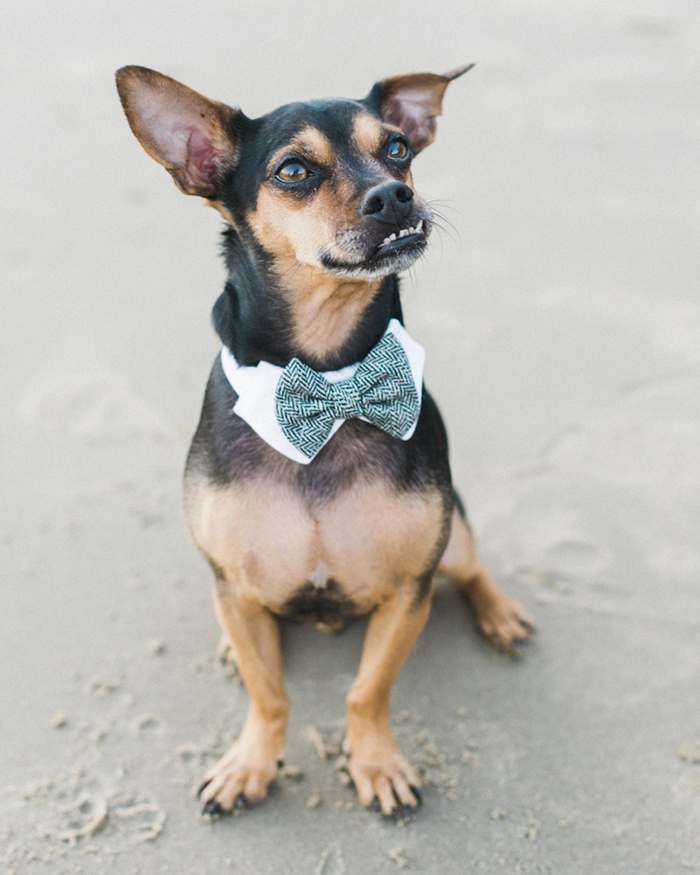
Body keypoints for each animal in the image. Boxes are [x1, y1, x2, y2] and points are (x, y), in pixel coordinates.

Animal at [115, 63, 532, 820]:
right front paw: (251, 762)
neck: (330, 378)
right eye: (294, 170)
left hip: (452, 534)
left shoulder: (408, 593)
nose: (394, 194)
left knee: (470, 563)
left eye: (397, 148)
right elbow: (269, 692)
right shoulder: (234, 580)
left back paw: (500, 613)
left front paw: (376, 763)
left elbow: (367, 691)